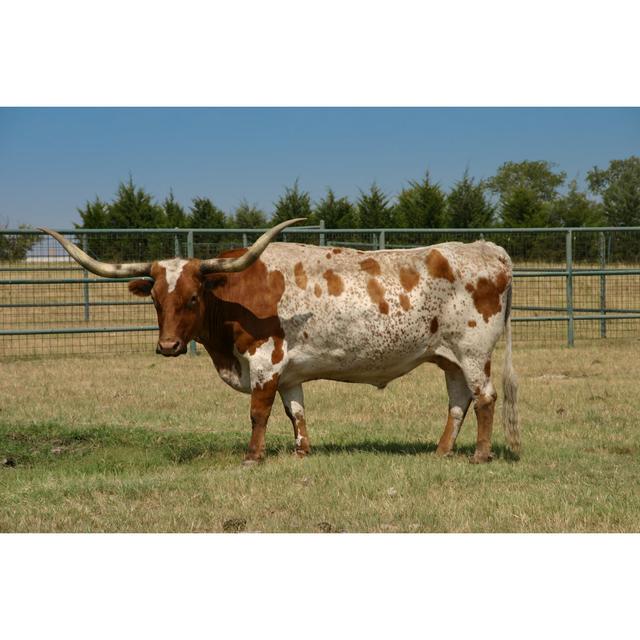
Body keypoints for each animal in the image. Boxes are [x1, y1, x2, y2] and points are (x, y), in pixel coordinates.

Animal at [40, 221, 516, 464]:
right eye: (157, 300)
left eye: (193, 297)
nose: (169, 346)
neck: (233, 295)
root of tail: (489, 249)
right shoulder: (289, 373)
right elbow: (295, 411)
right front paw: (303, 450)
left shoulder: (264, 361)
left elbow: (258, 412)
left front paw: (253, 457)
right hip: (450, 357)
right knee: (458, 401)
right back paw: (440, 452)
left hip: (474, 352)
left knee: (486, 398)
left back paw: (480, 455)